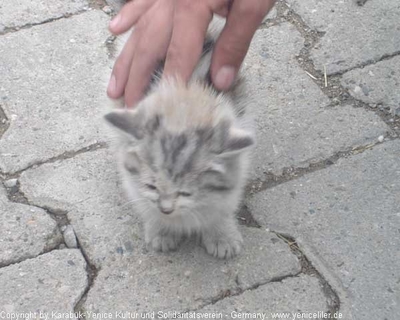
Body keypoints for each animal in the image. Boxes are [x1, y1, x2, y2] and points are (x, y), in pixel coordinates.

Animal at [104, 18, 255, 260]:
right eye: (152, 186)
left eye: (185, 192)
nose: (166, 209)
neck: (185, 97)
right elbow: (143, 199)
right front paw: (162, 229)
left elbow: (222, 205)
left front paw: (221, 234)